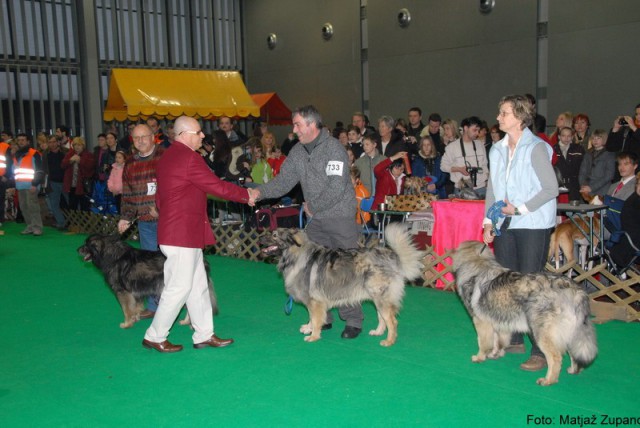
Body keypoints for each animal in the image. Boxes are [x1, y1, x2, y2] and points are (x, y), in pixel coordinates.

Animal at [76, 234, 218, 328]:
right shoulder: (135, 292)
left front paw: (127, 323)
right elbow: (135, 307)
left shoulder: (123, 292)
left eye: (86, 245)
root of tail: (202, 261)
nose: (77, 249)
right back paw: (187, 322)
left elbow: (126, 309)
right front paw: (136, 318)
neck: (113, 256)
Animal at [262, 222, 422, 346]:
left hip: (381, 298)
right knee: (382, 318)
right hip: (377, 298)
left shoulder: (314, 301)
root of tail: (392, 257)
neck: (296, 255)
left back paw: (389, 341)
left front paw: (313, 336)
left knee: (392, 321)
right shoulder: (314, 301)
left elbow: (315, 318)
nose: (260, 240)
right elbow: (312, 317)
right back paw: (378, 332)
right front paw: (309, 328)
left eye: (274, 235)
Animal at [452, 242, 596, 386]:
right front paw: (495, 354)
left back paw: (548, 380)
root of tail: (575, 291)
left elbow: (483, 342)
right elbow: (498, 341)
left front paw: (479, 357)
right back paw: (573, 370)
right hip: (571, 332)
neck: (478, 265)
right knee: (573, 352)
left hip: (541, 333)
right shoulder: (499, 322)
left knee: (555, 357)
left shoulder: (481, 322)